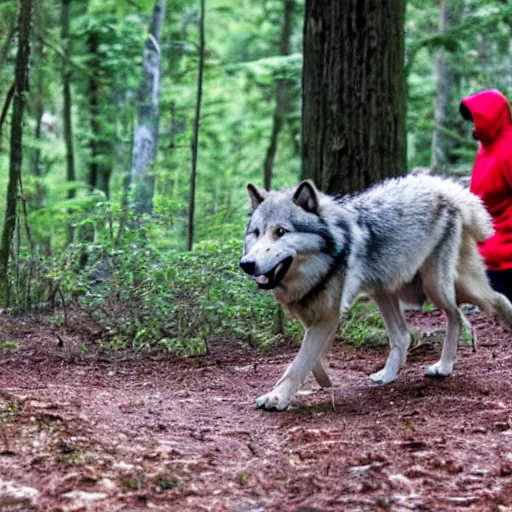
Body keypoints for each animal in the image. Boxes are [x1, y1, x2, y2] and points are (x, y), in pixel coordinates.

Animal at [239, 174, 512, 410]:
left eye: (280, 232)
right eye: (256, 233)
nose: (246, 264)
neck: (326, 259)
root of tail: (444, 189)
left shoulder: (328, 316)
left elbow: (298, 363)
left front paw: (277, 398)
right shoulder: (316, 317)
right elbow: (311, 359)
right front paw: (323, 380)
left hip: (433, 288)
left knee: (463, 312)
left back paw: (444, 367)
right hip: (389, 290)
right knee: (407, 334)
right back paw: (386, 377)